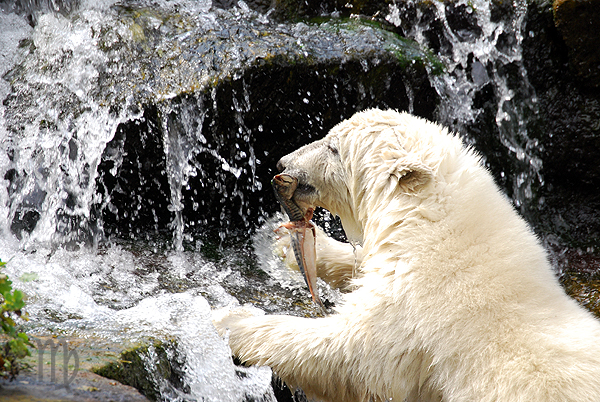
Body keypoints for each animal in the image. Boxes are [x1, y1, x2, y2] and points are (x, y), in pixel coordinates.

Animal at [214, 109, 600, 402]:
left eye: (333, 146)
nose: (283, 161)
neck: (437, 229)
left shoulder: (418, 306)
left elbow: (350, 353)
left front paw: (229, 321)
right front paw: (284, 243)